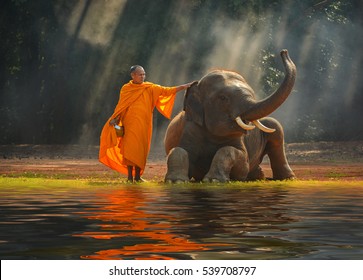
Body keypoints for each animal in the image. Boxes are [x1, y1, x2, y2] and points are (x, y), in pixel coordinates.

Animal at [165, 49, 298, 183]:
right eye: (223, 98)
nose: (283, 51)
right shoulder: (190, 128)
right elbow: (179, 150)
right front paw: (175, 181)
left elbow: (239, 159)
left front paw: (213, 180)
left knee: (276, 130)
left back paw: (286, 178)